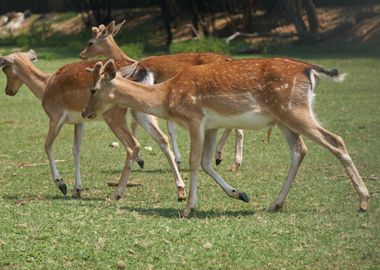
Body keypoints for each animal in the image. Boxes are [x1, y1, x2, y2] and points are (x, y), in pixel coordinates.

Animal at [0, 50, 186, 201]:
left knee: (133, 145)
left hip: (114, 113)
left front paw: (62, 185)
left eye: (5, 69)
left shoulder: (56, 116)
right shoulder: (80, 121)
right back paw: (180, 191)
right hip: (142, 110)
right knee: (162, 139)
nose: (8, 91)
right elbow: (76, 150)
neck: (45, 85)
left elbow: (47, 145)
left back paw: (117, 193)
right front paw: (77, 190)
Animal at [79, 21, 246, 173]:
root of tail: (229, 59)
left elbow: (145, 125)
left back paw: (232, 162)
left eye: (90, 42)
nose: (81, 54)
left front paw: (147, 160)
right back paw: (221, 158)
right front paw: (176, 160)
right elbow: (168, 127)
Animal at [82, 58, 368, 217]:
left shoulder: (195, 118)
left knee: (336, 140)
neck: (166, 97)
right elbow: (207, 162)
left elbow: (194, 161)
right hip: (285, 117)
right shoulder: (212, 125)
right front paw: (239, 194)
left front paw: (188, 209)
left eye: (93, 89)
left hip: (293, 110)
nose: (85, 112)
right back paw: (275, 204)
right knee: (300, 150)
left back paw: (364, 201)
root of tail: (310, 70)